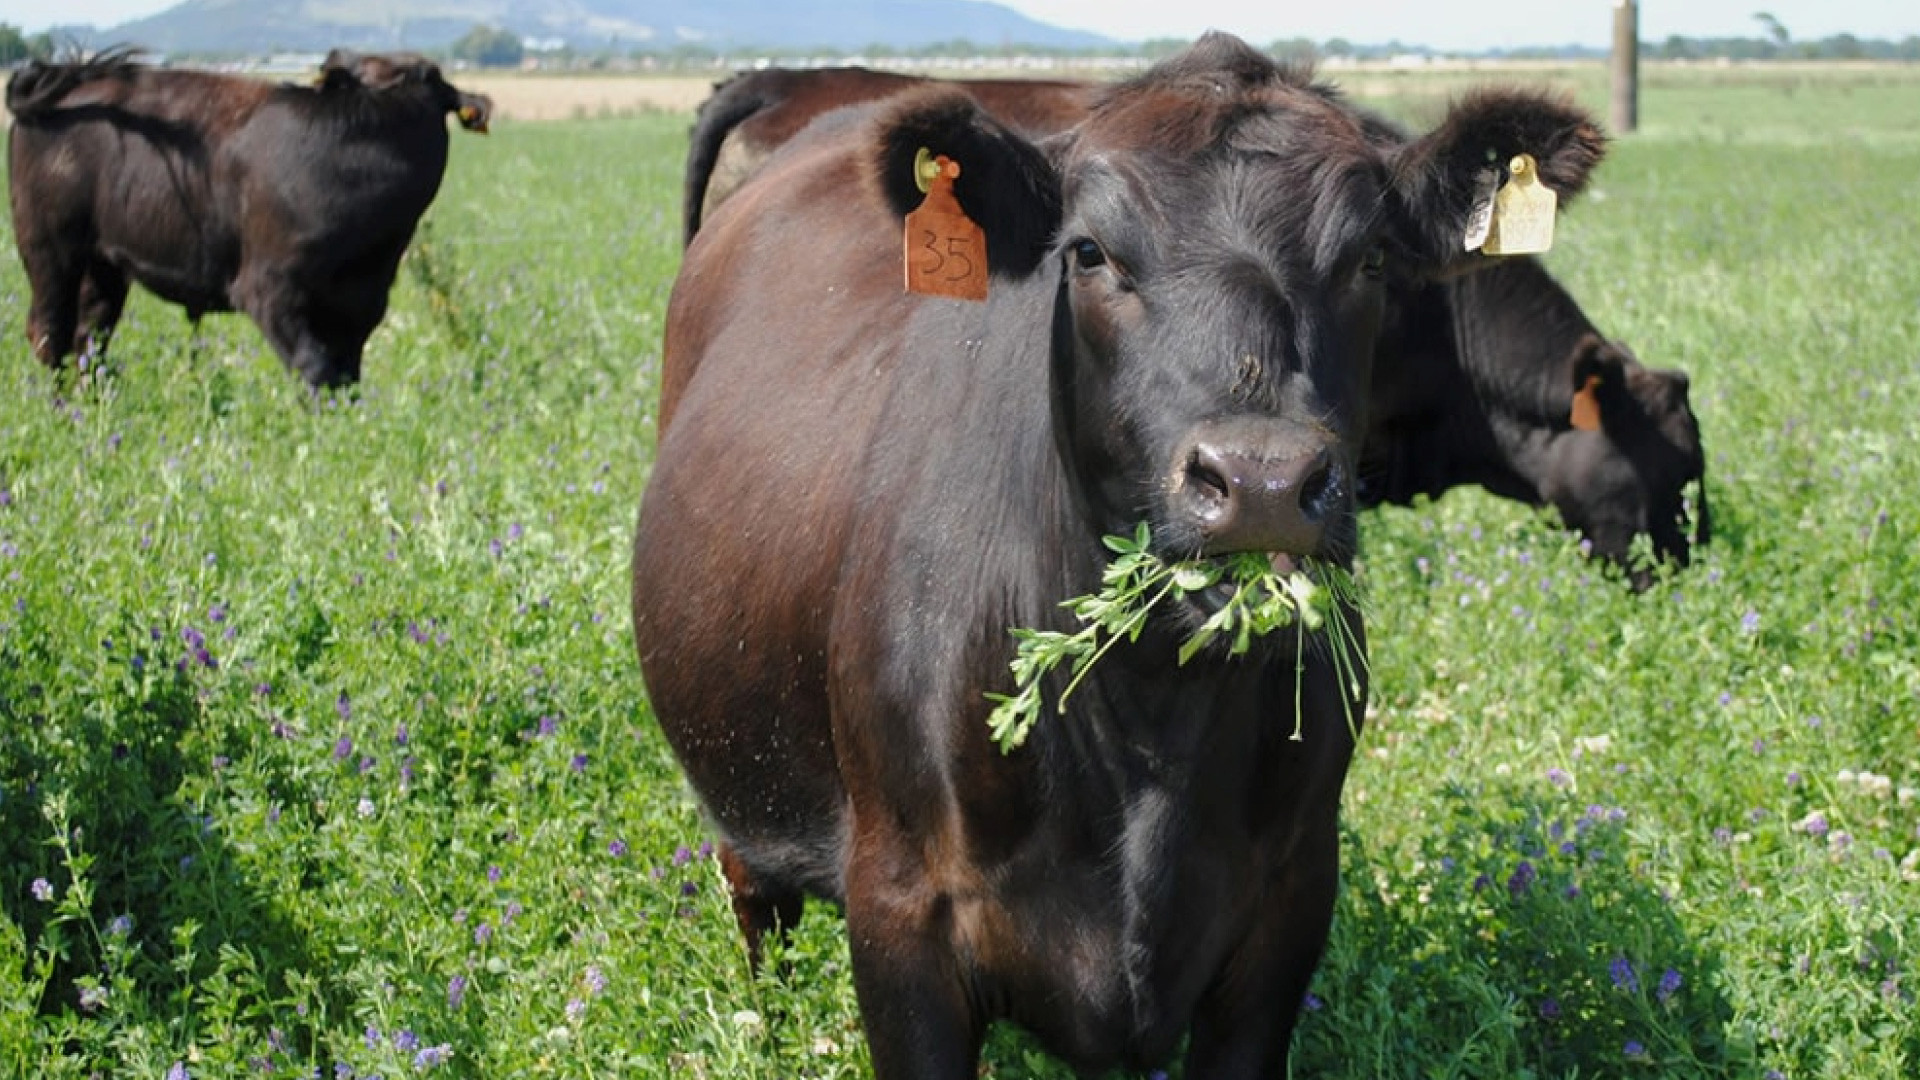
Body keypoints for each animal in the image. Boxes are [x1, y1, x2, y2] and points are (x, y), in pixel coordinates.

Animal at [9, 50, 487, 388]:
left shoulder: (360, 306)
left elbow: (345, 379)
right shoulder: (268, 289)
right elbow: (314, 369)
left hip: (103, 264)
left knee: (88, 338)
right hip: (48, 249)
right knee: (49, 334)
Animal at [629, 35, 1605, 1076]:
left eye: (1371, 256)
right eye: (1090, 251)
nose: (1262, 481)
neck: (1152, 720)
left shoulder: (1289, 909)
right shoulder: (900, 915)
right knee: (756, 907)